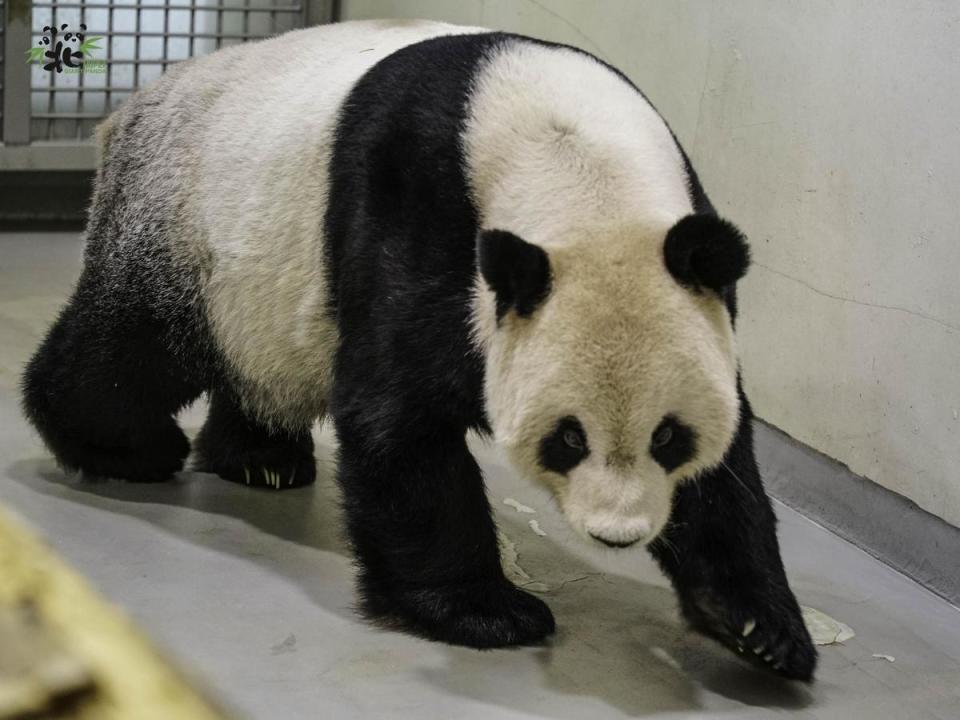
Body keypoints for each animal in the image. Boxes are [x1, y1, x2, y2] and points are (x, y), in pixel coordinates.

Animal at [22, 18, 816, 680]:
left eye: (669, 437)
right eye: (568, 438)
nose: (617, 534)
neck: (578, 166)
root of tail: (133, 104)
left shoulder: (695, 280)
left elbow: (731, 462)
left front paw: (759, 628)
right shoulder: (418, 210)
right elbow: (397, 417)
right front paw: (488, 611)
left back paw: (262, 459)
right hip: (183, 223)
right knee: (132, 349)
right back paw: (129, 450)